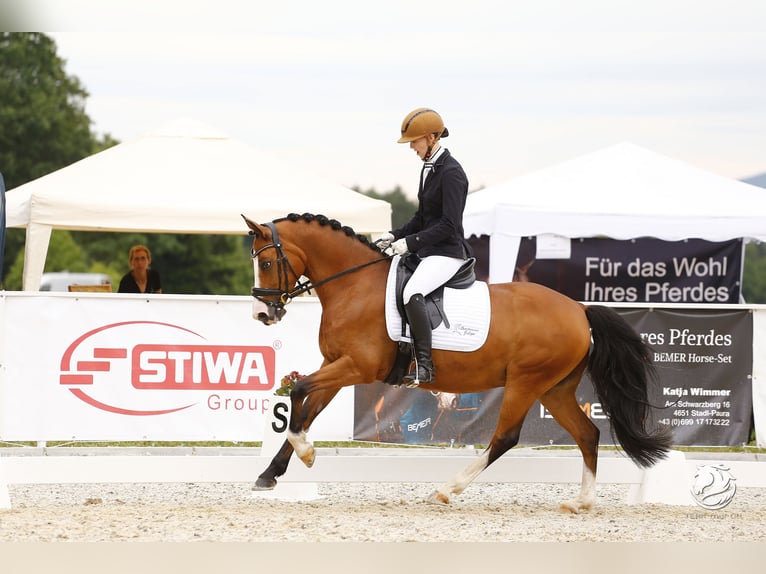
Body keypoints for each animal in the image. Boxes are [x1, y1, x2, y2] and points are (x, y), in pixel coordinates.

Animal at [244, 213, 672, 512]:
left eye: (265, 264)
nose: (263, 315)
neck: (354, 286)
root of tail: (580, 310)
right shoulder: (335, 365)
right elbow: (306, 408)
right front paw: (269, 475)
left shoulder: (356, 367)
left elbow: (298, 392)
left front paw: (306, 453)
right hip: (555, 389)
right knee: (588, 435)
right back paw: (581, 502)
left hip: (526, 382)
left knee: (505, 438)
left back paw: (446, 490)